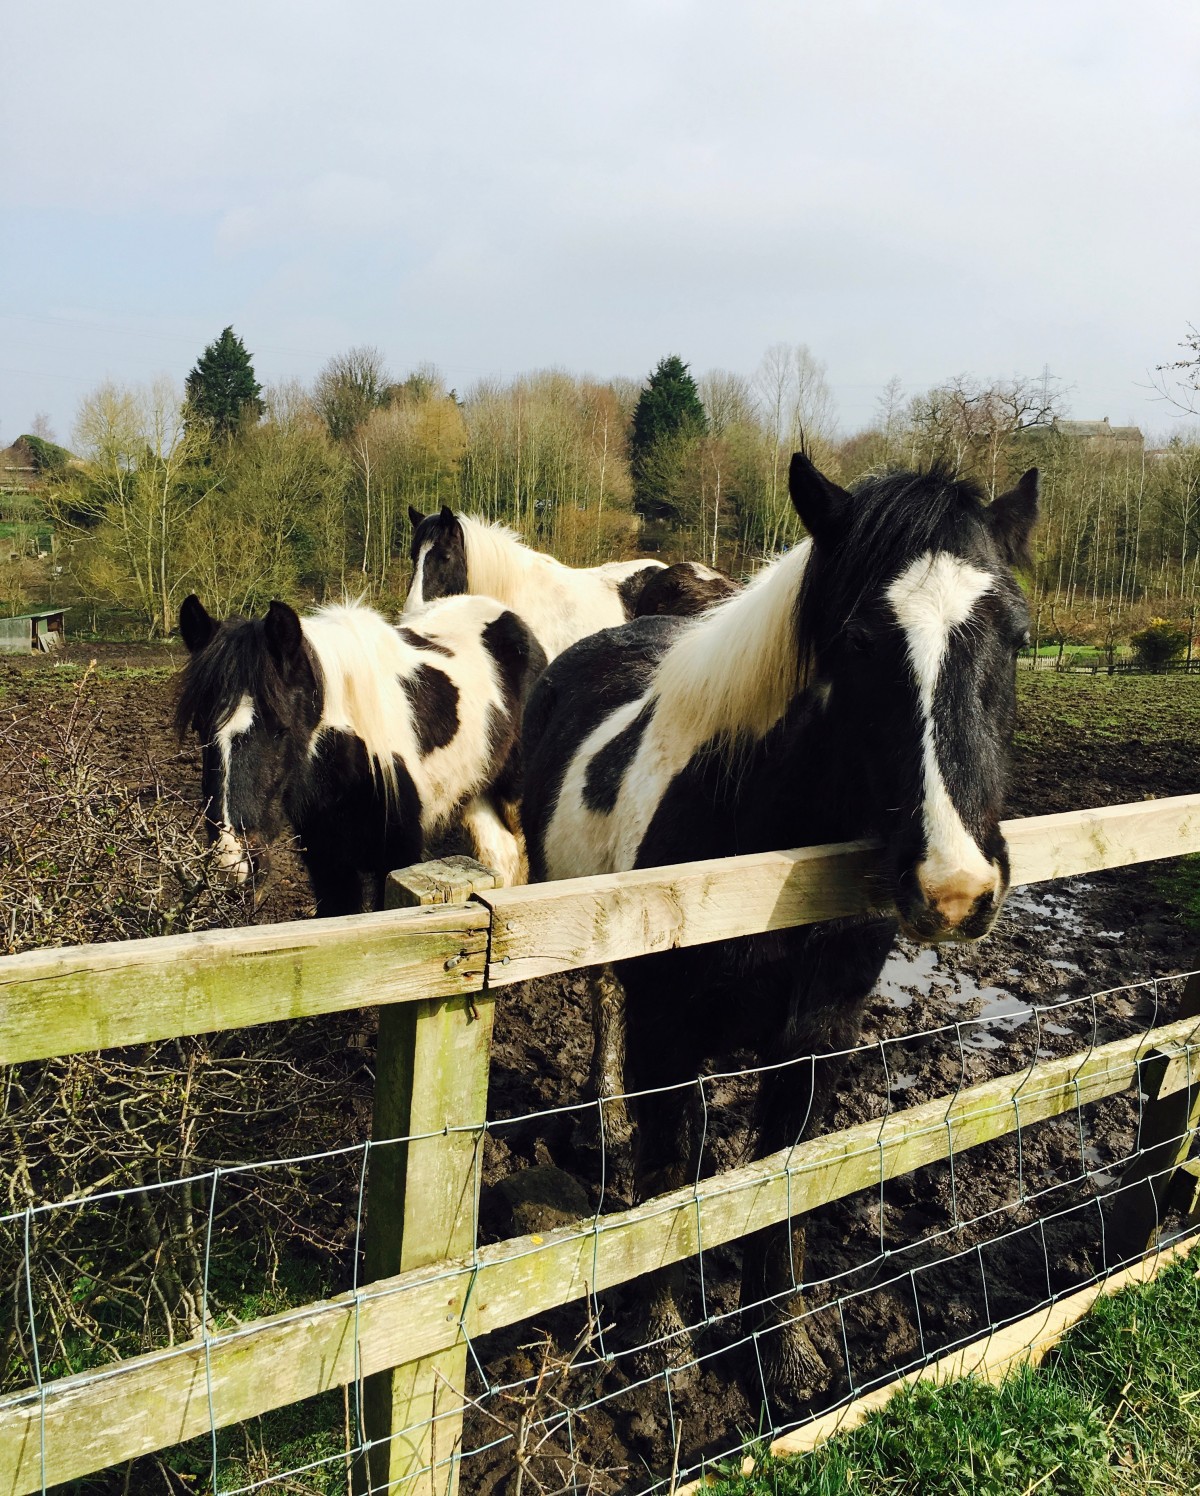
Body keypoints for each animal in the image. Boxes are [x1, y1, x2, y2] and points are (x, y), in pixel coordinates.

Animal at [176, 592, 541, 909]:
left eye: (281, 729)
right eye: (199, 728)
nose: (232, 865)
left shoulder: (398, 857)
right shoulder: (328, 864)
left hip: (513, 794)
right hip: (473, 791)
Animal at [517, 451, 1035, 1400]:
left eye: (1016, 636)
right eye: (860, 643)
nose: (954, 889)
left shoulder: (815, 1040)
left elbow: (782, 1183)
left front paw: (783, 1351)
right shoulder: (668, 1034)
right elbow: (671, 1172)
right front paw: (661, 1344)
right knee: (603, 1004)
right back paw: (605, 1122)